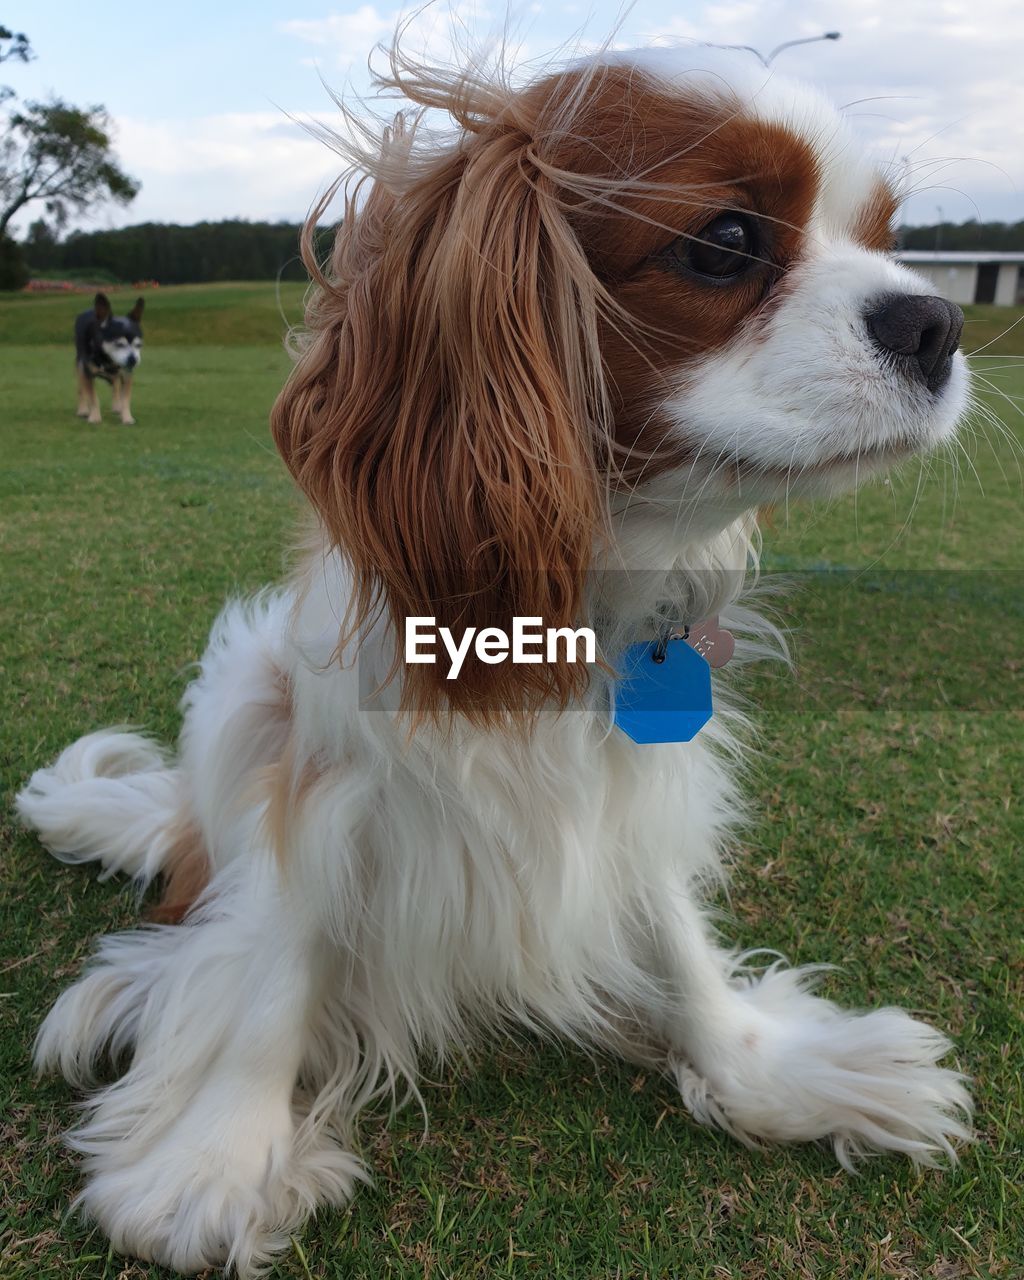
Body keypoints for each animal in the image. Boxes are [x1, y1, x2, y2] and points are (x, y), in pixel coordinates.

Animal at [73, 291, 145, 424]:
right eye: (119, 344)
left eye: (138, 345)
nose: (133, 359)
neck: (108, 360)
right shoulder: (87, 374)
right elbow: (93, 397)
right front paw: (94, 417)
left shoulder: (127, 374)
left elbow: (125, 398)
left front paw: (127, 418)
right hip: (80, 367)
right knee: (81, 390)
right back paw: (83, 410)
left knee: (116, 385)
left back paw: (117, 406)